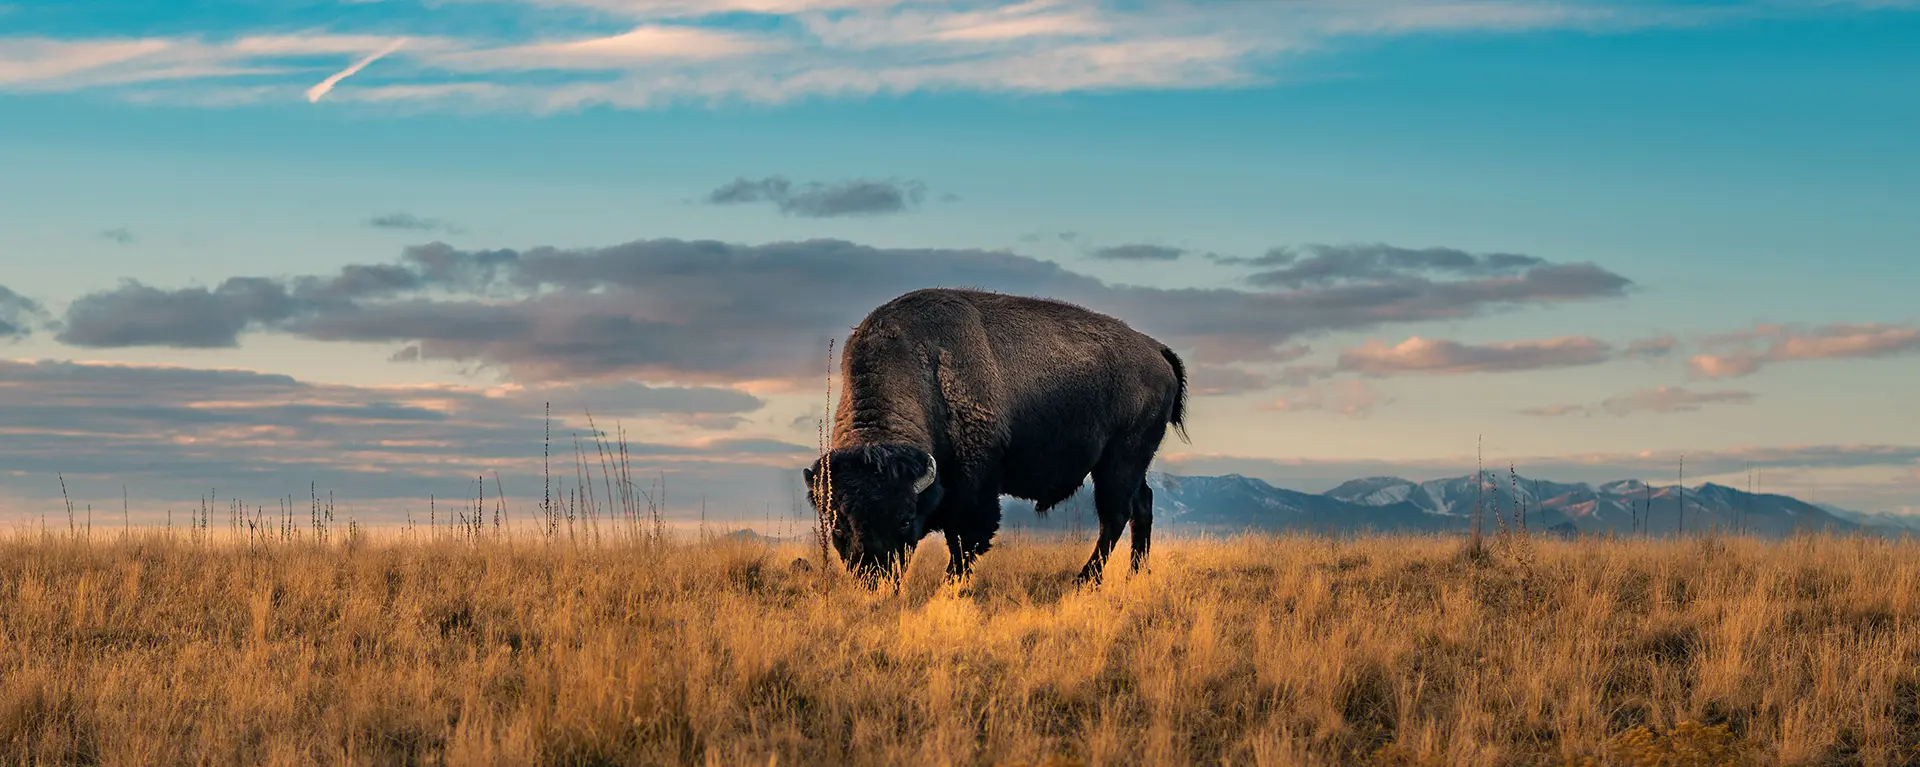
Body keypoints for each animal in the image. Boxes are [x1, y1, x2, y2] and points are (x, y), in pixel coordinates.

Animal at [798, 290, 1182, 588]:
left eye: (905, 518)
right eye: (837, 523)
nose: (873, 577)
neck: (925, 374)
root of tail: (1157, 349)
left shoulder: (973, 489)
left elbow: (964, 542)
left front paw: (951, 586)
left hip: (1120, 460)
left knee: (1114, 517)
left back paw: (1085, 580)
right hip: (1129, 465)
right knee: (1141, 505)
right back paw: (1135, 575)